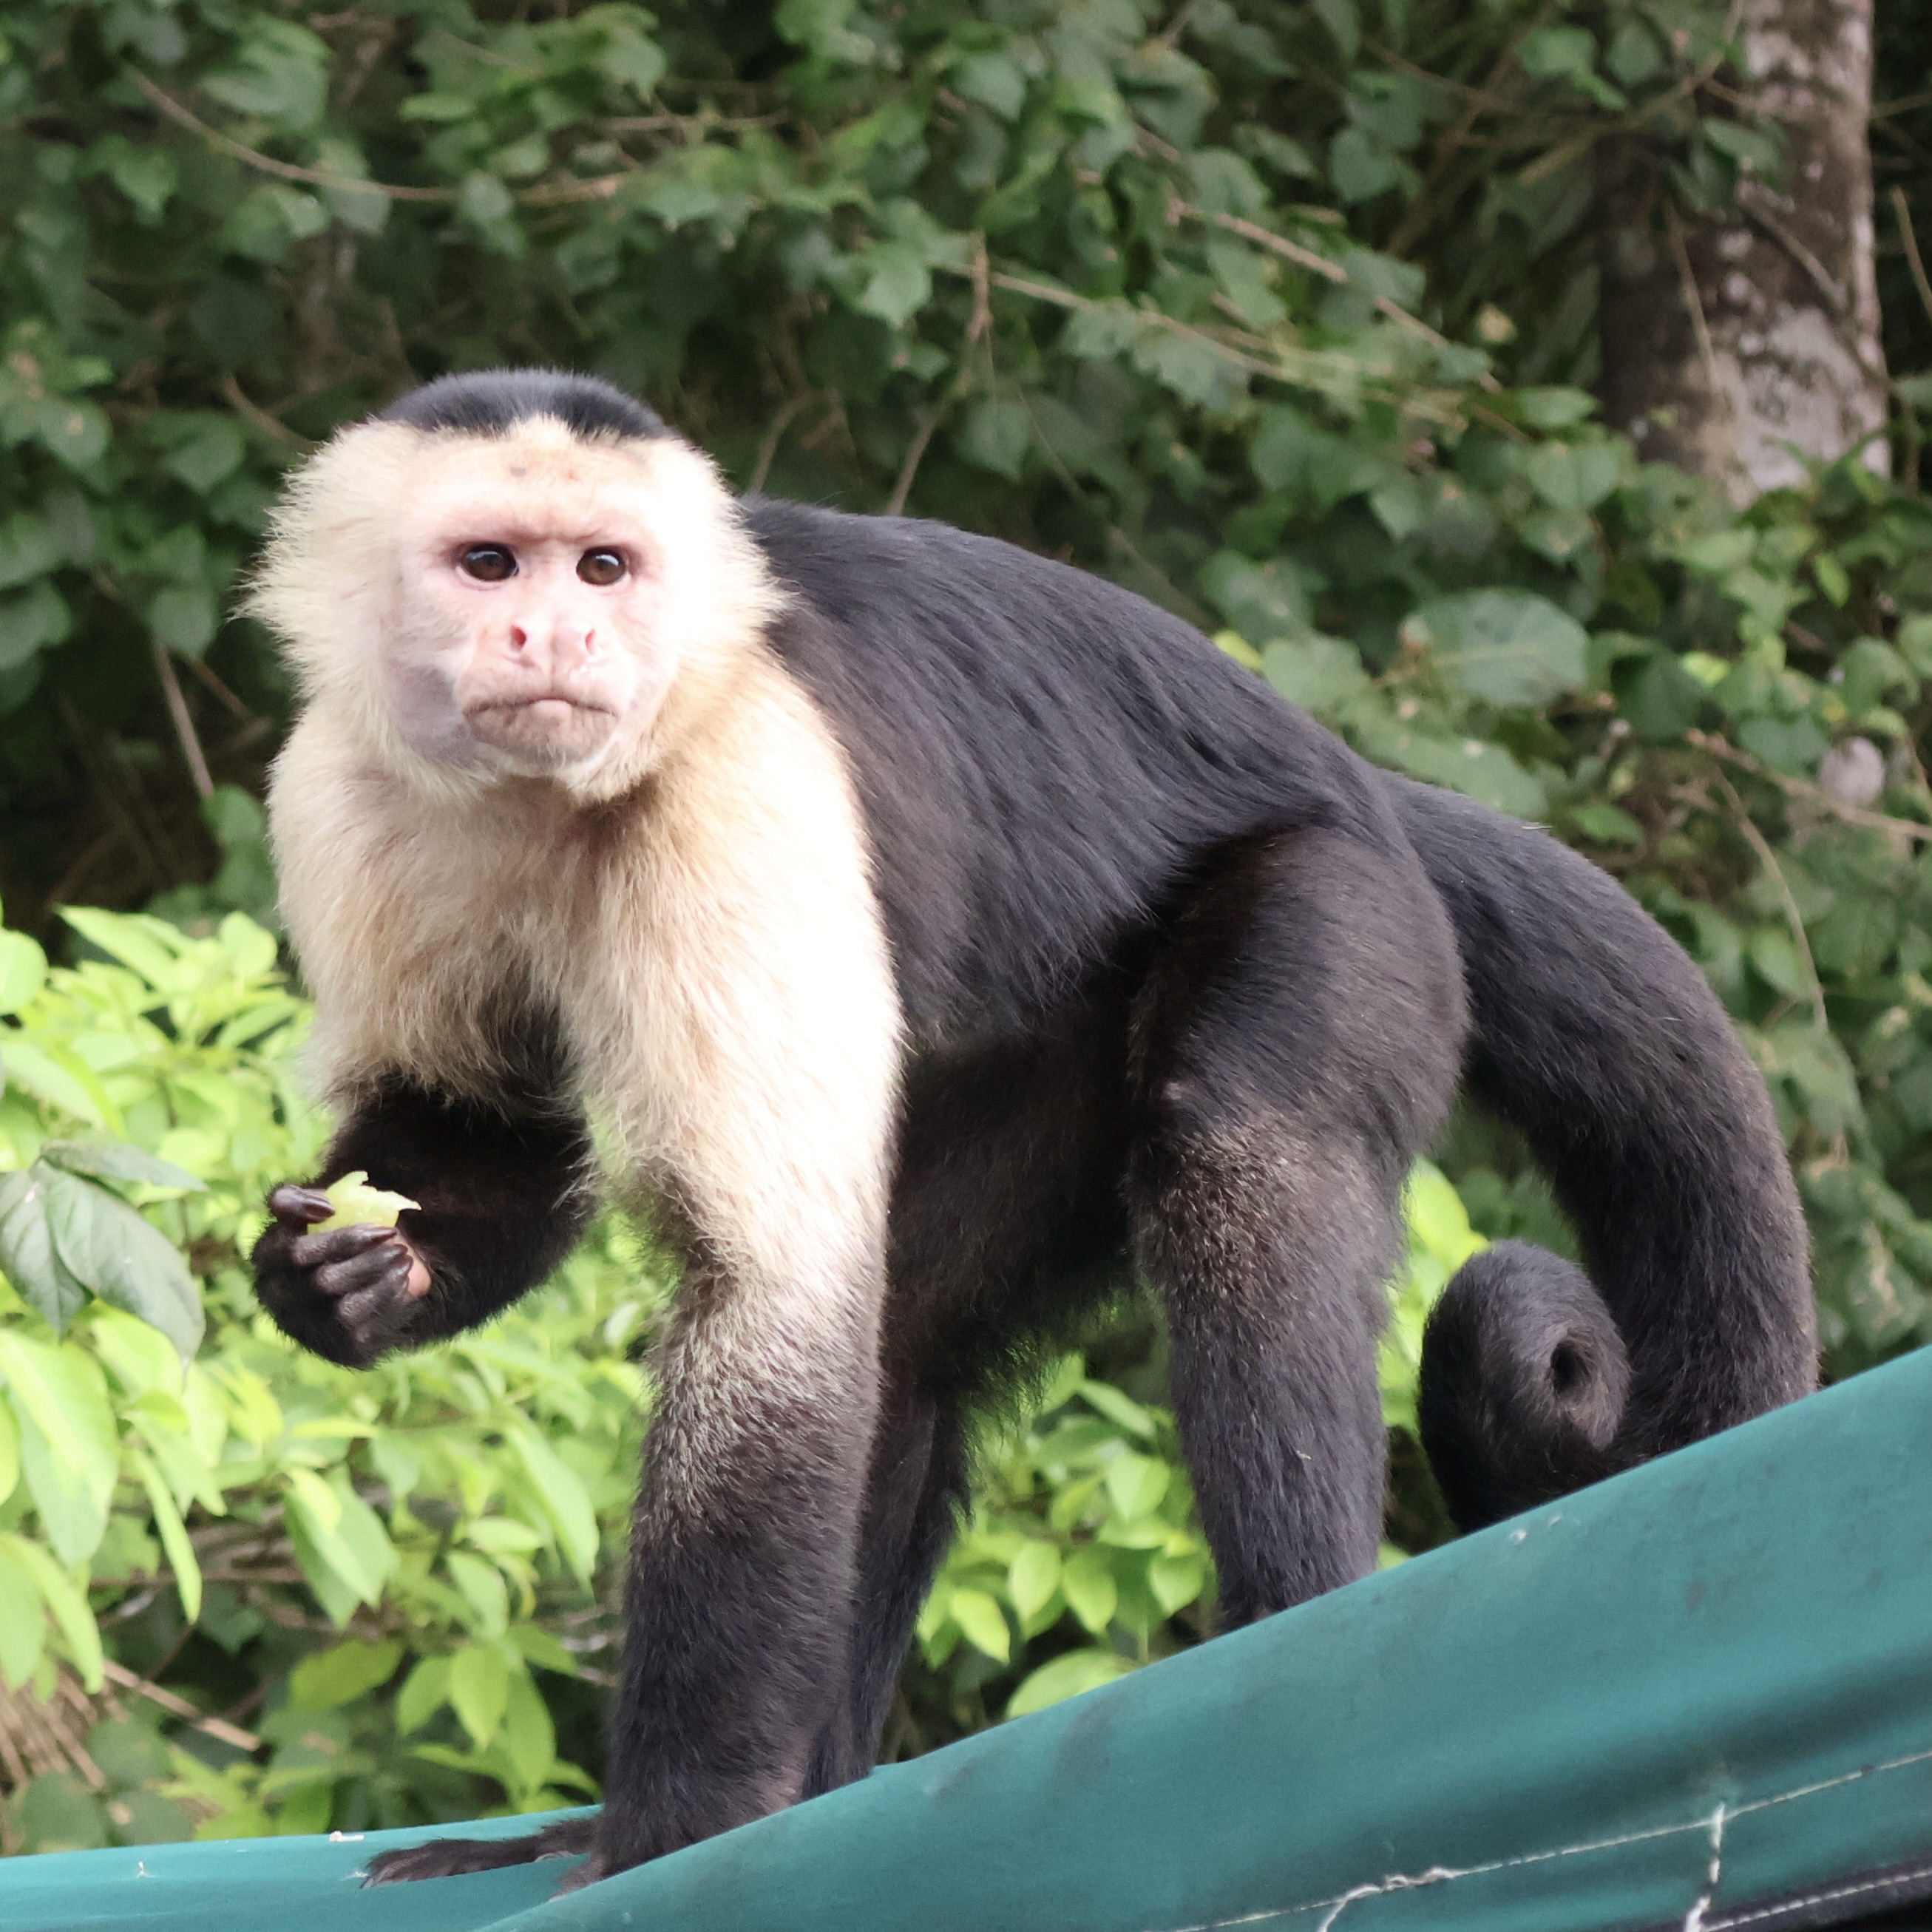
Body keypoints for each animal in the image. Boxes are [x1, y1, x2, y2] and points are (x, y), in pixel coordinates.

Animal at [246, 368, 1814, 1887]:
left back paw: (1294, 1629)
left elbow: (770, 1291)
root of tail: (1362, 780)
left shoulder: (746, 782)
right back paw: (818, 1779)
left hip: (1350, 912)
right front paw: (352, 1278)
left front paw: (675, 1825)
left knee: (1236, 1153)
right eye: (489, 562)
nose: (555, 632)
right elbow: (484, 1123)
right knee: (912, 1325)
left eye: (604, 567)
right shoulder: (335, 784)